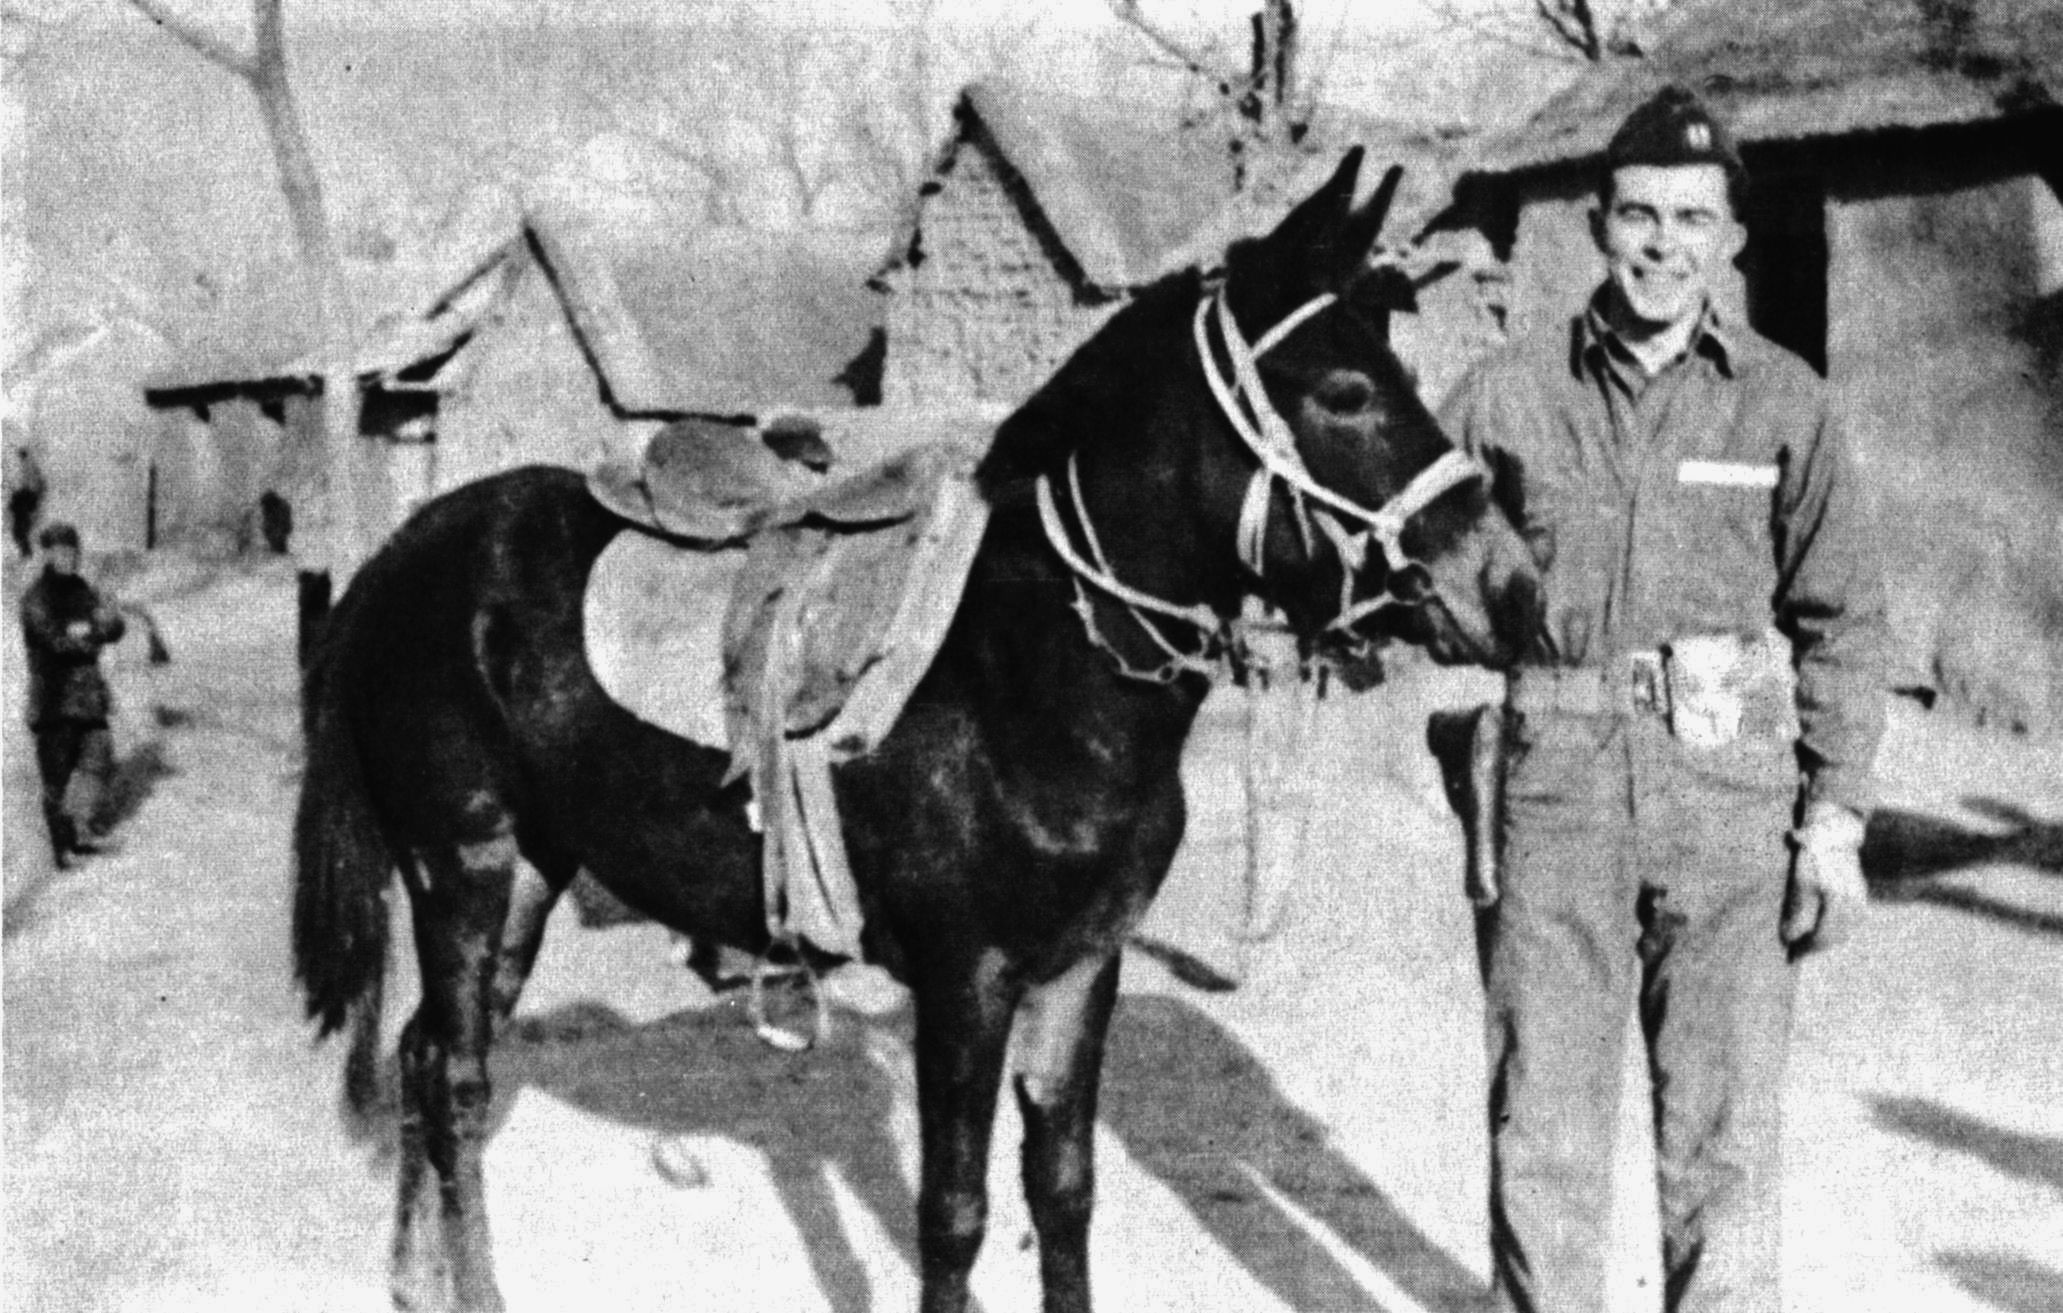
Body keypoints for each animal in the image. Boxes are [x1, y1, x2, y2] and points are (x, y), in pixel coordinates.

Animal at [299, 153, 1543, 1313]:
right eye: (1345, 390)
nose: (1513, 589)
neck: (1036, 668)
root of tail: (404, 554)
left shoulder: (1076, 969)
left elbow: (1063, 1186)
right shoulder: (965, 981)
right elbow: (954, 1211)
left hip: (528, 873)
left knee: (422, 1052)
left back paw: (412, 1277)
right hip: (462, 868)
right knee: (456, 1078)